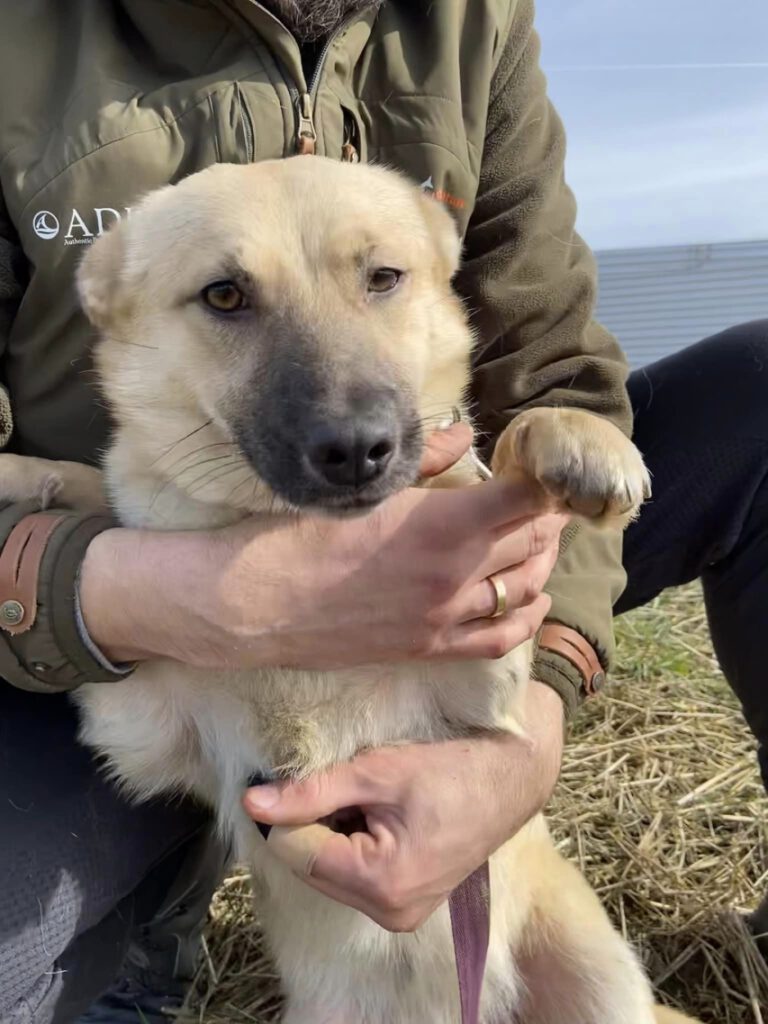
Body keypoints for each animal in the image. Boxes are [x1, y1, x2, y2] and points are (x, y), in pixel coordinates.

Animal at [0, 157, 704, 1024]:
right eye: (224, 295)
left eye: (384, 278)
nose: (358, 450)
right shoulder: (139, 723)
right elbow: (99, 493)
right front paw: (23, 474)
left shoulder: (479, 684)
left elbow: (487, 459)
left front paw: (570, 438)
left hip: (600, 982)